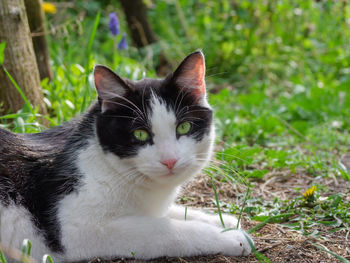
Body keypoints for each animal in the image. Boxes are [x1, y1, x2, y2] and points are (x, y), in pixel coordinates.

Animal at [0, 51, 252, 262]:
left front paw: (223, 220)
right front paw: (230, 237)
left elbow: (170, 212)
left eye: (184, 127)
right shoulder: (77, 229)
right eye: (140, 134)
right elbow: (163, 229)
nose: (169, 160)